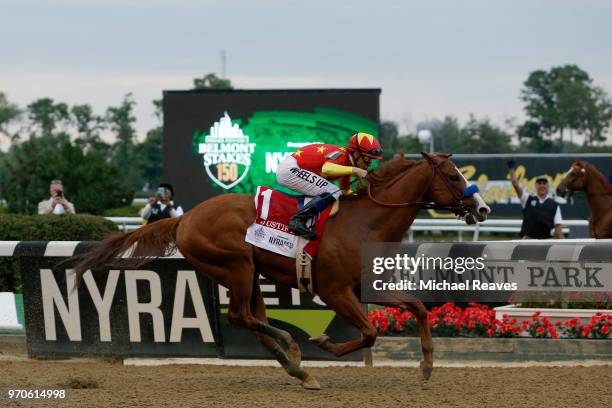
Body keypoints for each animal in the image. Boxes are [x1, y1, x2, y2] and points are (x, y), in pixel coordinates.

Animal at [73, 152, 492, 388]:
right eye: (453, 176)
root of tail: (184, 218)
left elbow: (419, 309)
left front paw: (427, 366)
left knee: (251, 320)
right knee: (241, 316)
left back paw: (296, 367)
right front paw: (324, 343)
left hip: (249, 274)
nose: (483, 209)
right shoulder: (334, 291)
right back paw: (293, 350)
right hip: (237, 266)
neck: (365, 223)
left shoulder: (367, 288)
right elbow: (370, 333)